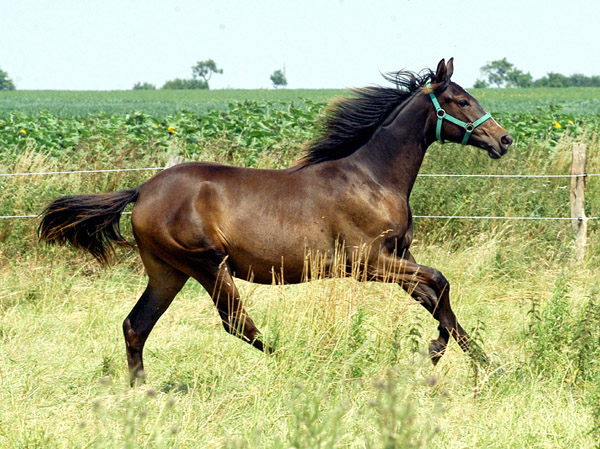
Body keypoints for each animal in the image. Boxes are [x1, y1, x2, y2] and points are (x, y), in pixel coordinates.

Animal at [39, 57, 512, 384]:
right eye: (461, 100)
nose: (504, 140)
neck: (372, 178)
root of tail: (142, 190)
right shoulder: (369, 262)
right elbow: (441, 282)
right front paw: (436, 350)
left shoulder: (399, 259)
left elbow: (438, 300)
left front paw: (486, 364)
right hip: (206, 264)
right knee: (236, 323)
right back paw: (299, 364)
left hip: (166, 271)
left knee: (136, 326)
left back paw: (141, 391)